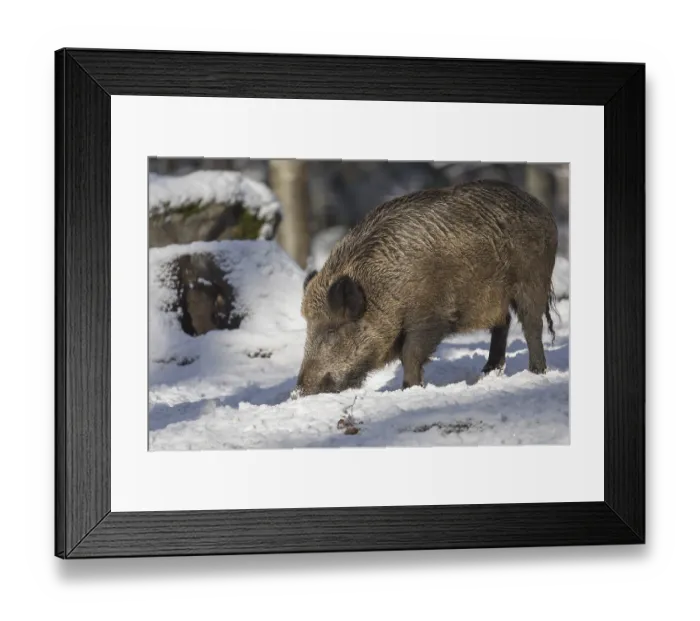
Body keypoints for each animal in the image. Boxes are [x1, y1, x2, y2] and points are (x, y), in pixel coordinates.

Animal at [295, 179, 558, 397]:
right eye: (307, 329)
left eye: (332, 331)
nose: (298, 391)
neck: (382, 287)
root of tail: (544, 210)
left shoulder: (431, 315)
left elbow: (410, 354)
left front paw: (409, 389)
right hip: (495, 297)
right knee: (502, 323)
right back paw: (487, 372)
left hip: (533, 279)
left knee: (531, 325)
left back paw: (536, 371)